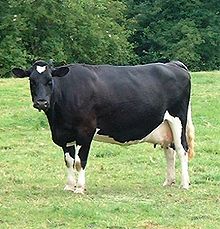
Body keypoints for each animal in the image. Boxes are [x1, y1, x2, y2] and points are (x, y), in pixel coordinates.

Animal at [12, 60, 194, 193]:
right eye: (32, 81)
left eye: (50, 81)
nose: (41, 102)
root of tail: (173, 64)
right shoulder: (65, 135)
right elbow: (68, 161)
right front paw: (69, 186)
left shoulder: (85, 132)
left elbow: (80, 161)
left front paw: (80, 188)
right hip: (165, 125)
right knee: (169, 151)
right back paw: (168, 181)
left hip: (178, 119)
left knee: (181, 149)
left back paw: (184, 184)